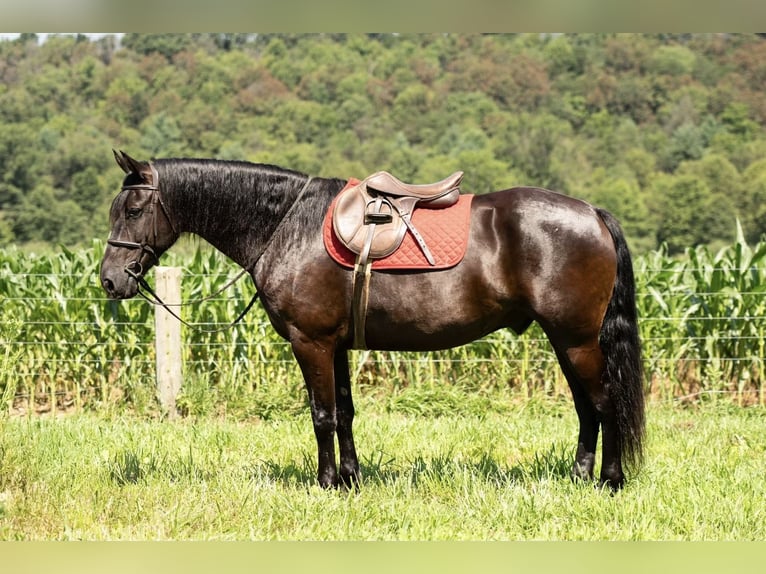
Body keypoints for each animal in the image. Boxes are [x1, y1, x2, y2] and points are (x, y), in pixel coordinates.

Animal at [100, 150, 645, 491]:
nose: (109, 280)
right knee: (587, 408)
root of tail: (591, 213)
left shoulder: (311, 343)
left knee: (604, 403)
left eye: (134, 208)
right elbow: (343, 413)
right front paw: (351, 480)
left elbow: (321, 414)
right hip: (566, 341)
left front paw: (324, 484)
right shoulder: (335, 345)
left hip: (576, 339)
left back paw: (610, 481)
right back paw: (580, 476)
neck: (285, 225)